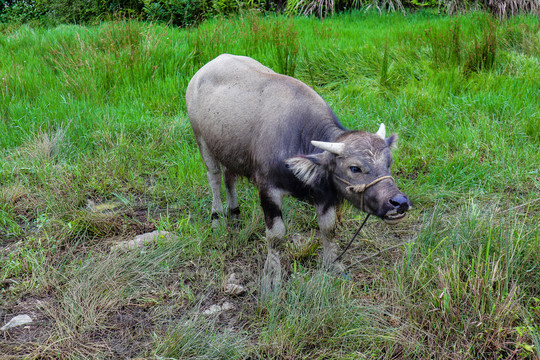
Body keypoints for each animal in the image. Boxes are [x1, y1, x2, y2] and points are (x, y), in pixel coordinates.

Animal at [186, 53, 410, 292]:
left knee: (230, 178)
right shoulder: (268, 189)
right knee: (215, 178)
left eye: (389, 162)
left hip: (229, 149)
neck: (298, 139)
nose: (399, 202)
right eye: (355, 168)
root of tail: (204, 69)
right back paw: (217, 218)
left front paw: (333, 266)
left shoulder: (324, 194)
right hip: (202, 141)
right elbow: (276, 236)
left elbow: (329, 228)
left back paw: (235, 214)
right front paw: (272, 278)